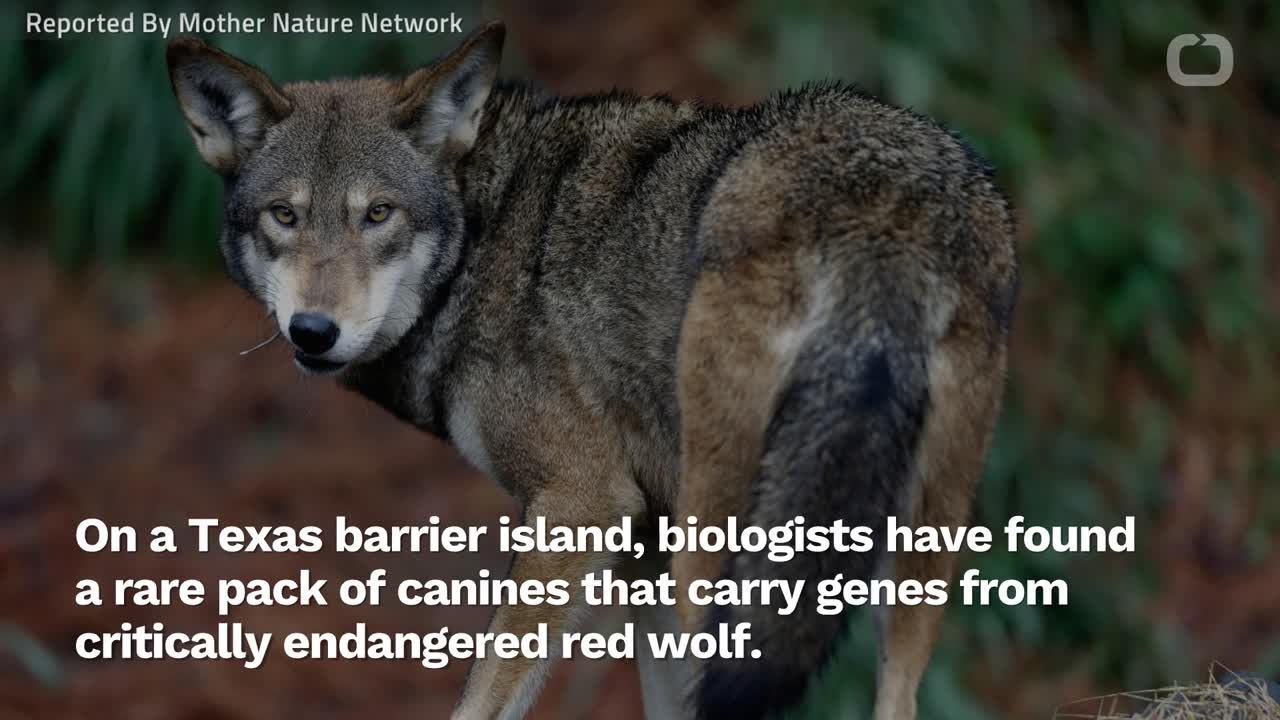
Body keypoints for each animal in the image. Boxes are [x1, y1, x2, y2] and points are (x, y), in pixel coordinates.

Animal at [167, 20, 1017, 720]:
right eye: (284, 216)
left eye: (378, 215)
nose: (315, 331)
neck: (483, 240)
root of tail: (886, 203)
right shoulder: (640, 551)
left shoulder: (582, 504)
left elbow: (484, 699)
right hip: (909, 552)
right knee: (899, 697)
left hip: (720, 541)